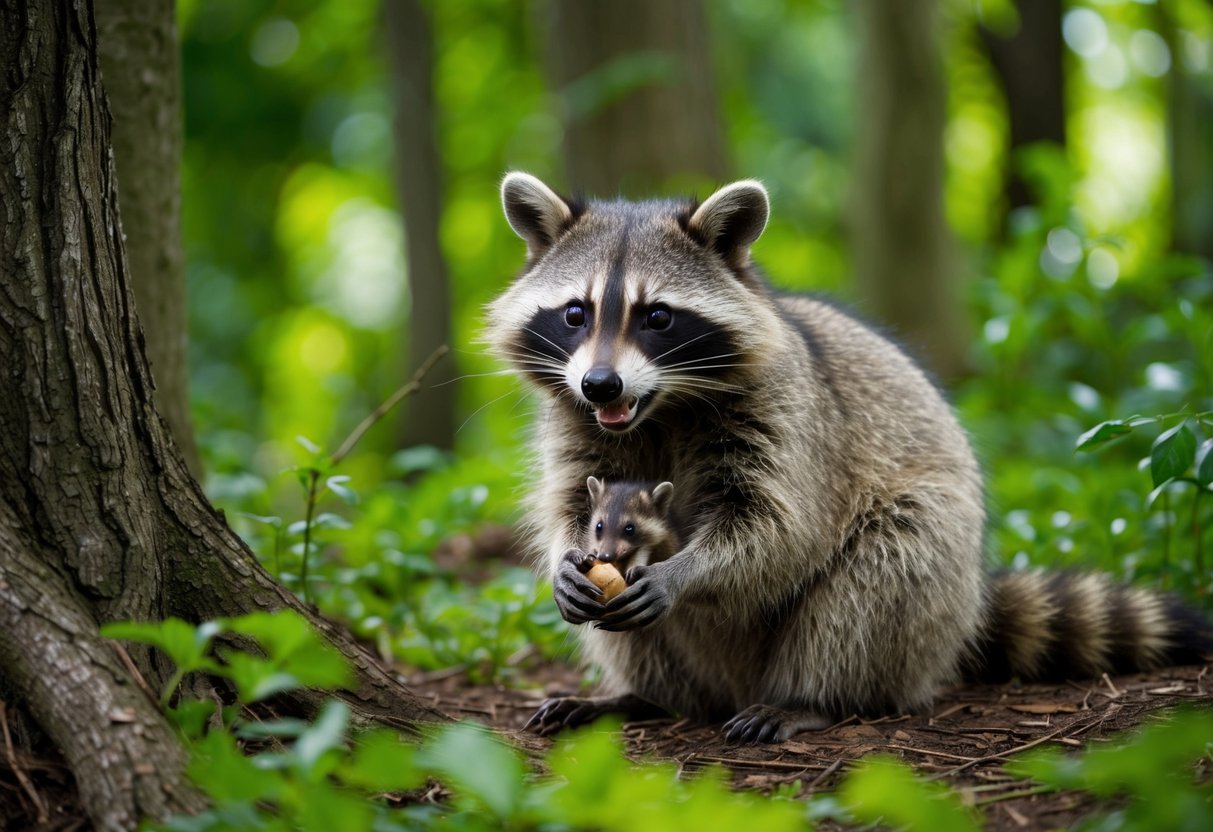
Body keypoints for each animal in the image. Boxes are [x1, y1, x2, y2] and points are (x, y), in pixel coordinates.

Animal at [489, 172, 1212, 742]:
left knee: (879, 575)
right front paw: (566, 557)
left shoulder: (789, 418)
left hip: (927, 578)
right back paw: (646, 696)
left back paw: (814, 698)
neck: (659, 406)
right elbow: (570, 501)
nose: (601, 385)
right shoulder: (574, 420)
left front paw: (687, 571)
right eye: (576, 313)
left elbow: (781, 530)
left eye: (657, 317)